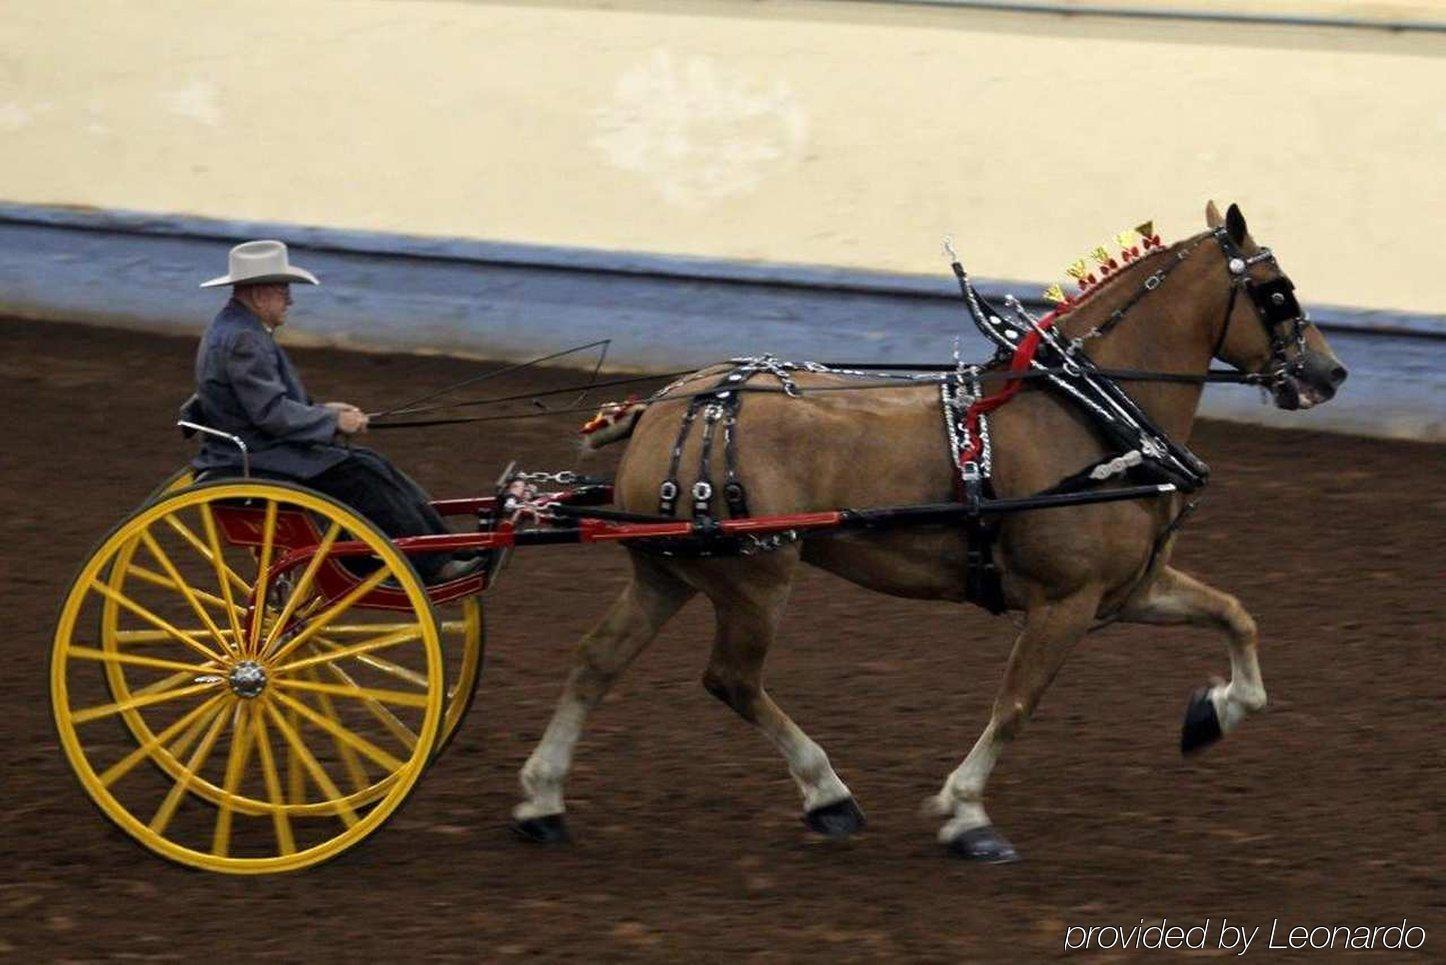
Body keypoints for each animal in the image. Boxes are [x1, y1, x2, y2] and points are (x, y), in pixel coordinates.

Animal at [506, 202, 1341, 862]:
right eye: (1276, 291)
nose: (1330, 373)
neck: (1089, 416)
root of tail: (663, 408)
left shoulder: (1129, 588)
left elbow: (1236, 615)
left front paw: (1214, 713)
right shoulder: (1064, 601)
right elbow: (1015, 705)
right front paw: (966, 813)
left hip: (671, 568)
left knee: (597, 660)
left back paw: (543, 800)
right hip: (756, 575)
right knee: (731, 678)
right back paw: (828, 794)